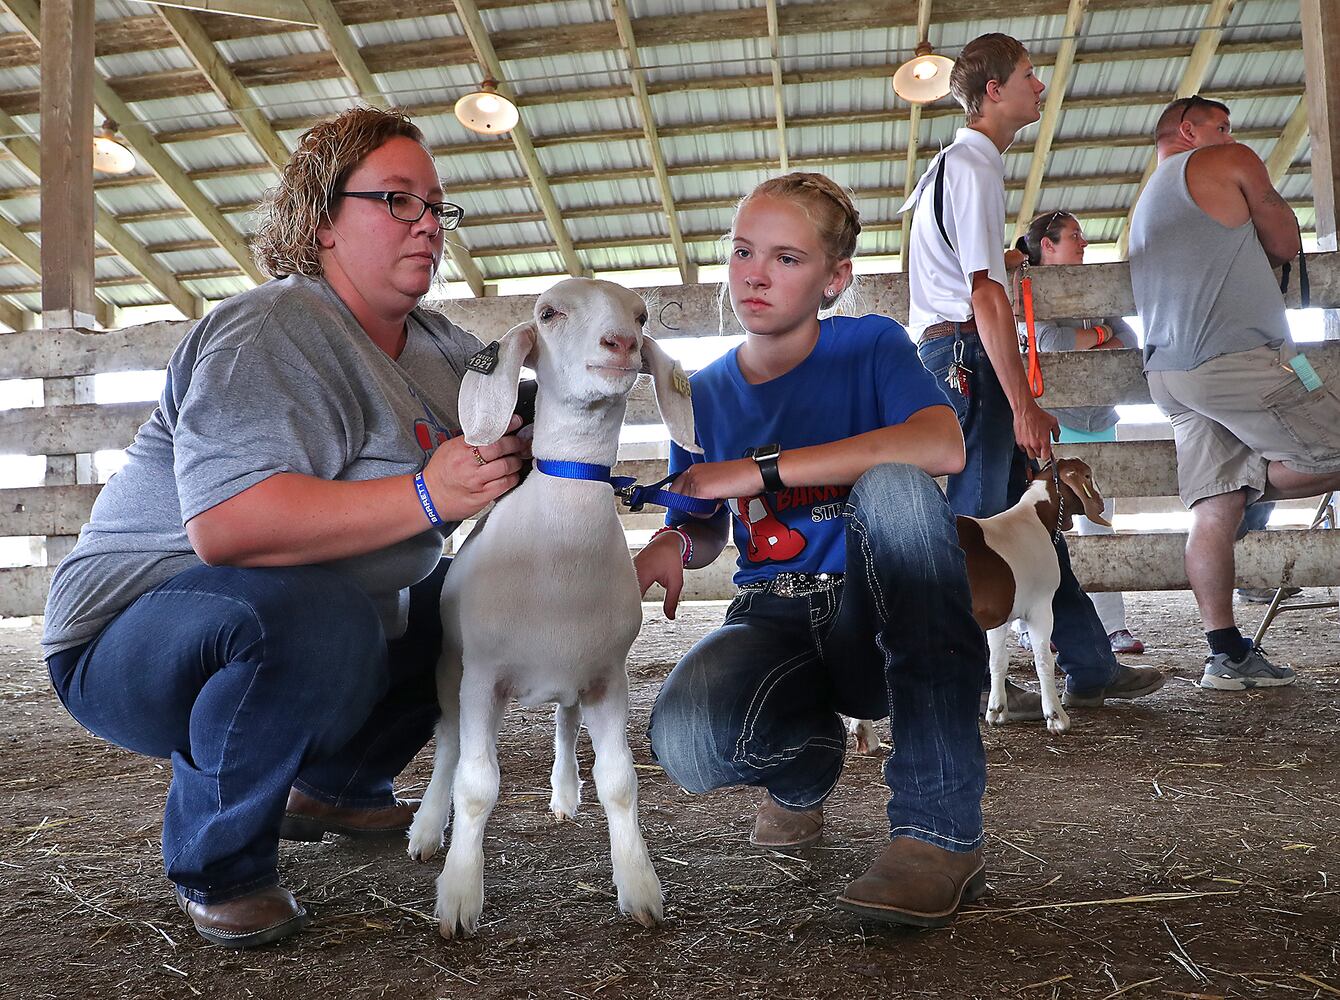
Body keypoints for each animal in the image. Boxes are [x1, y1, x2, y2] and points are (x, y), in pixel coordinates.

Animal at [404, 278, 702, 932]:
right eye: (548, 312)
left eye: (642, 316)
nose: (620, 344)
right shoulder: (482, 676)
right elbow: (475, 783)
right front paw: (459, 895)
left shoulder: (608, 677)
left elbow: (619, 781)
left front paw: (639, 886)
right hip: (449, 669)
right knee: (448, 745)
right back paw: (426, 830)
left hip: (573, 678)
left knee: (565, 728)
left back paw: (564, 795)